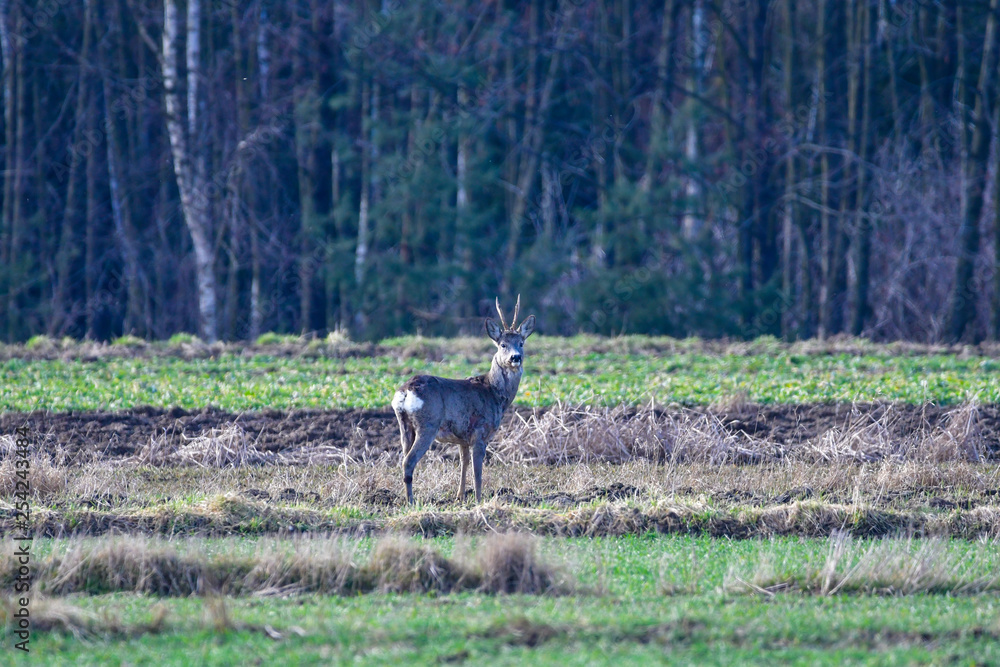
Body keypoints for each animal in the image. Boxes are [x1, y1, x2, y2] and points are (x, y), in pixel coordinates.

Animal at [391, 296, 536, 504]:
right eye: (502, 344)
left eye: (521, 343)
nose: (515, 357)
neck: (494, 393)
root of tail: (405, 391)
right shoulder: (480, 432)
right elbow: (477, 471)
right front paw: (478, 499)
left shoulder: (463, 438)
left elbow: (463, 464)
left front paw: (460, 496)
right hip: (428, 424)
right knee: (408, 461)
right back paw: (411, 502)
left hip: (404, 425)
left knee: (403, 456)